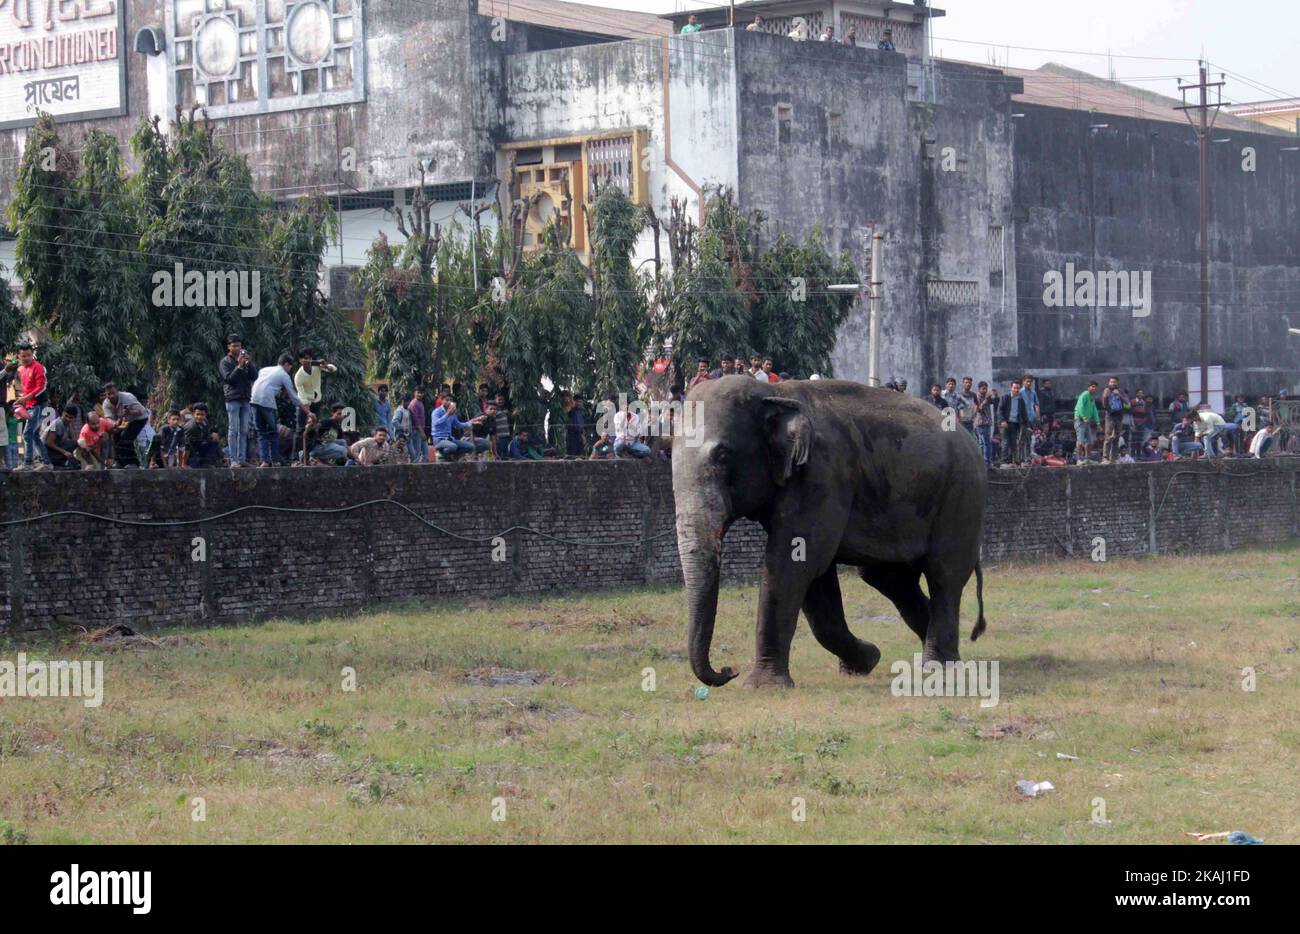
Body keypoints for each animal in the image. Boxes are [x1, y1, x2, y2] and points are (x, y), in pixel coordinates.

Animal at [672, 376, 987, 688]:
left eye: (723, 456)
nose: (728, 670)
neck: (775, 392)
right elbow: (815, 578)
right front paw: (865, 661)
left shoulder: (823, 473)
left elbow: (794, 564)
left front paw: (761, 686)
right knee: (889, 579)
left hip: (962, 495)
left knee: (943, 575)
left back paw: (939, 666)